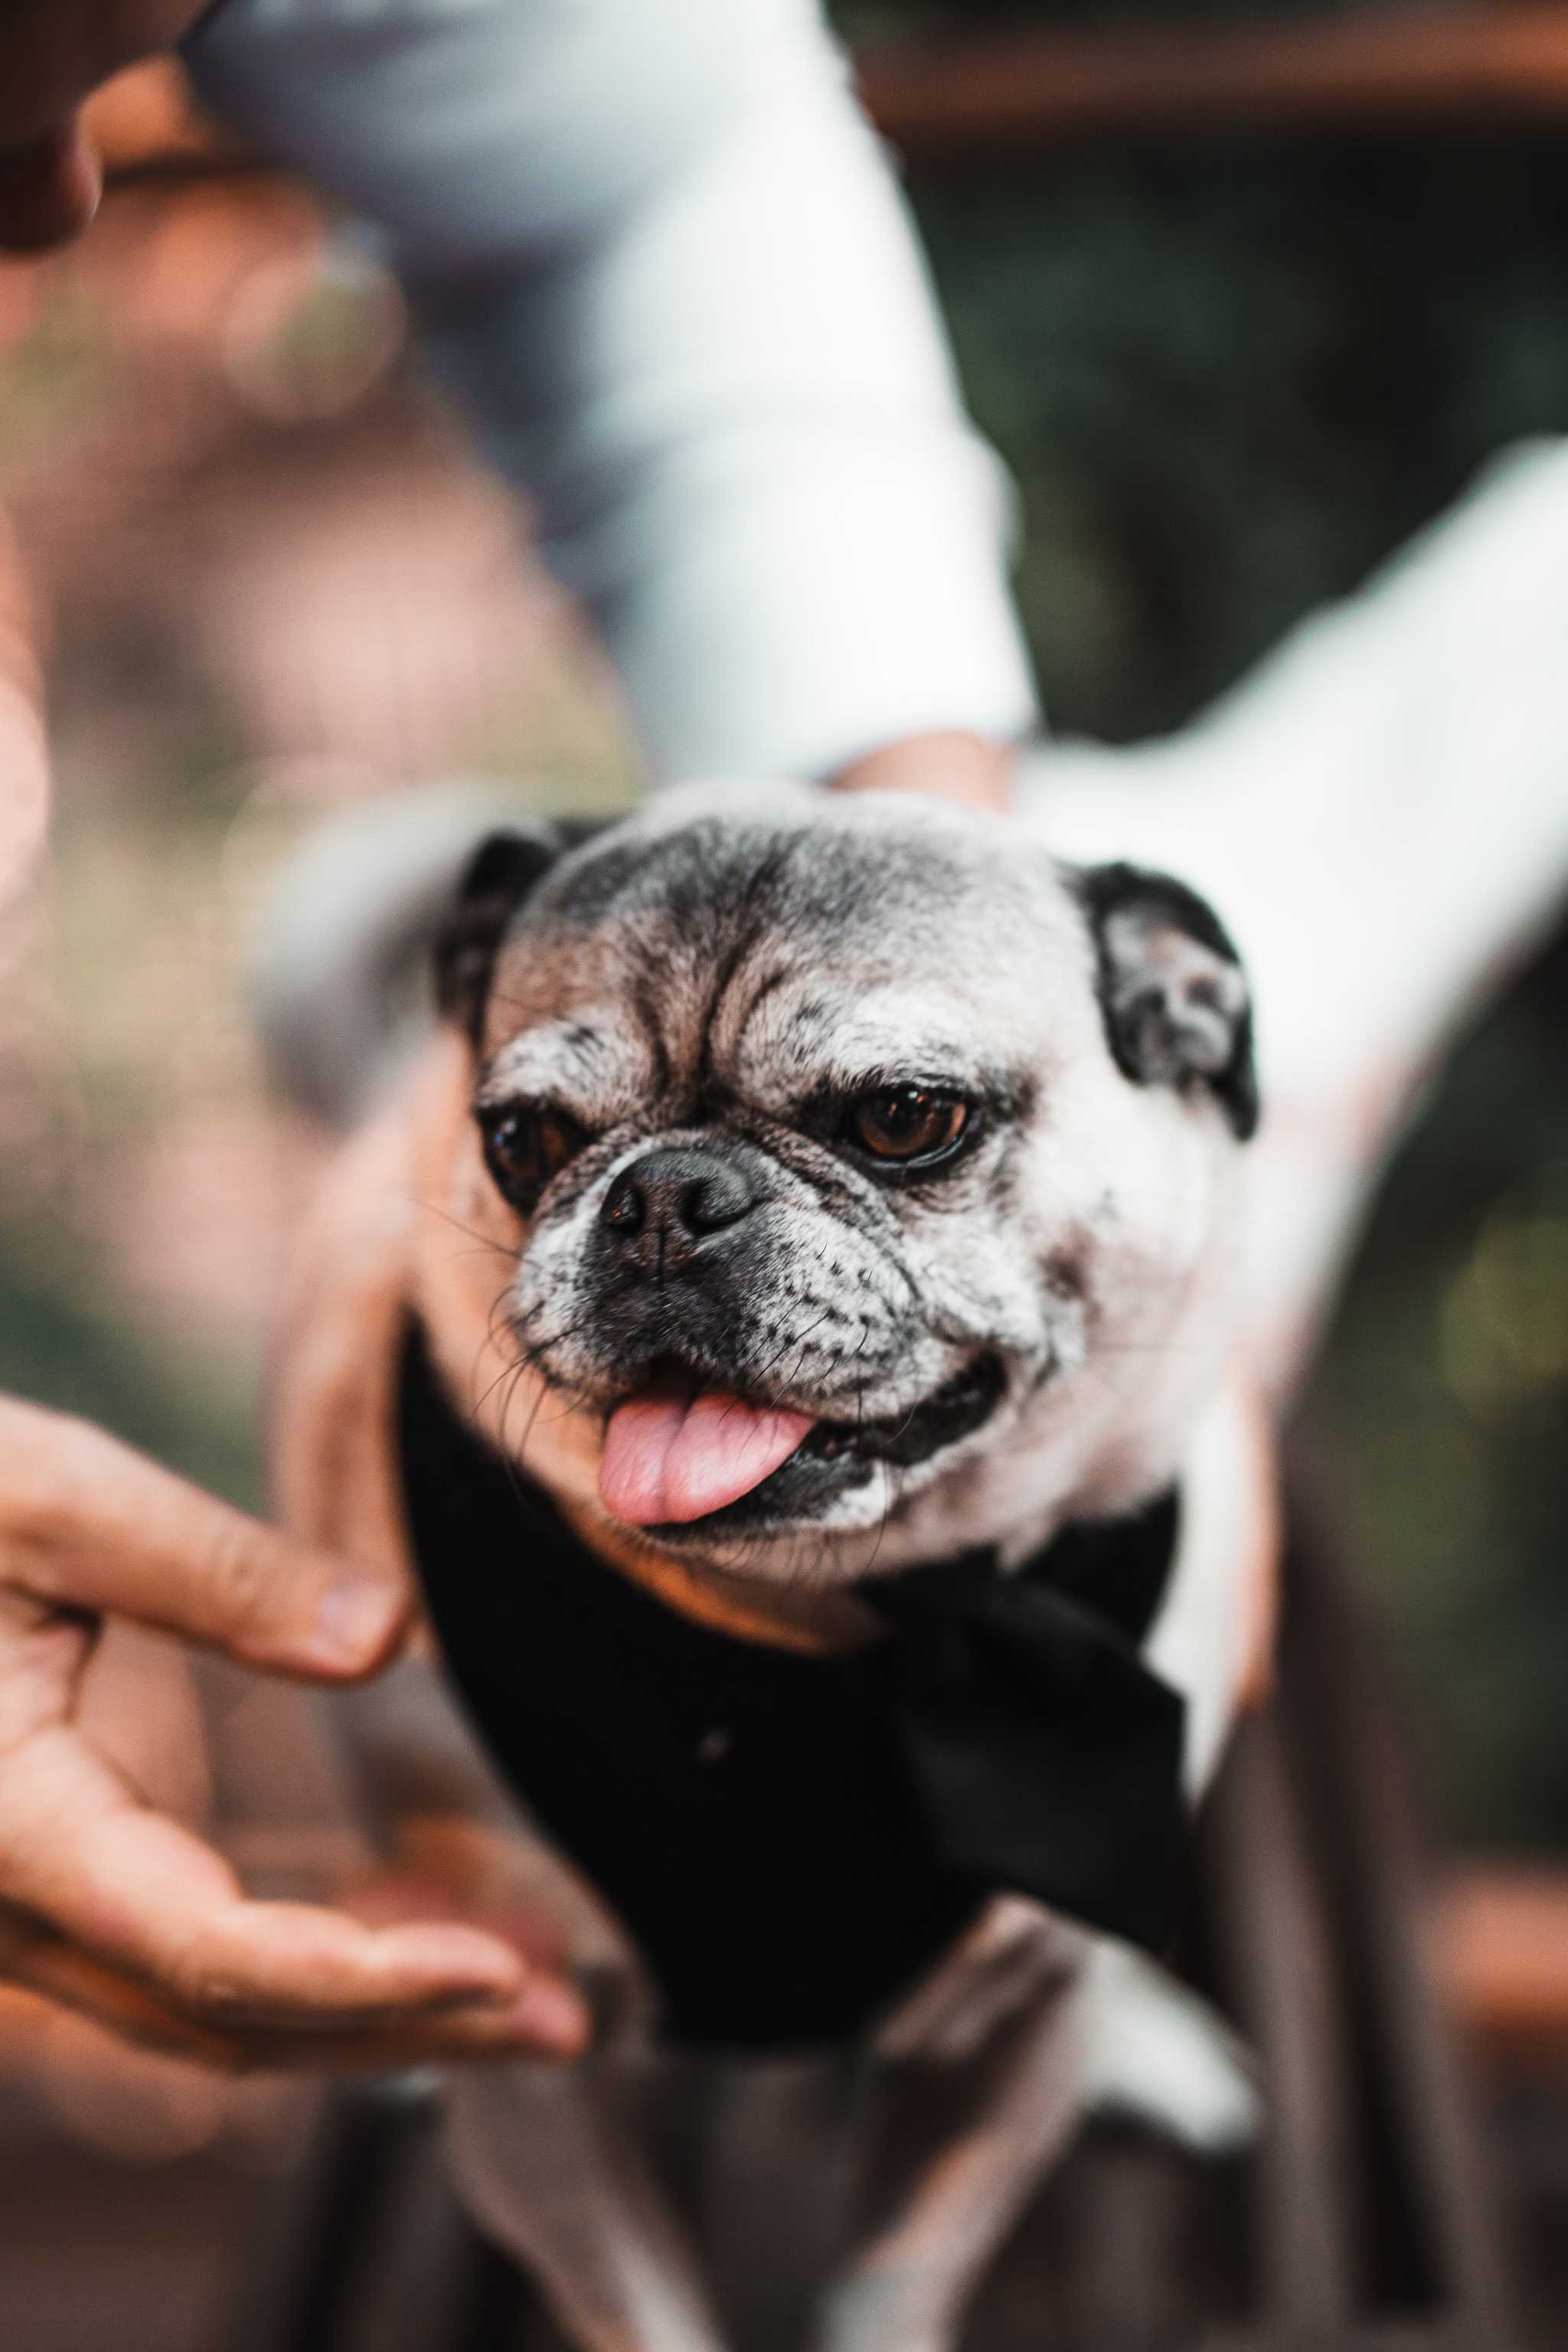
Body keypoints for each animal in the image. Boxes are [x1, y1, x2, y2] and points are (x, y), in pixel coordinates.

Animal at [270, 790, 1279, 2352]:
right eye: (523, 1137)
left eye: (905, 1118)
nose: (664, 1196)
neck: (848, 1626)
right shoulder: (538, 2076)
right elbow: (645, 2309)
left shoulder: (1012, 2057)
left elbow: (897, 2277)